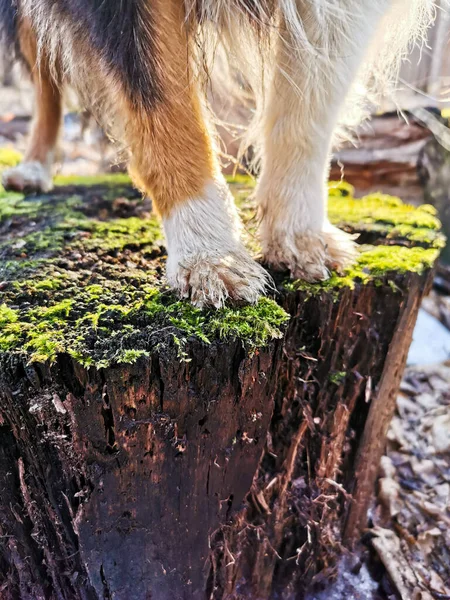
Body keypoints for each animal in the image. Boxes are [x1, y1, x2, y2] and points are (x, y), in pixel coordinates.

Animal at [0, 0, 436, 308]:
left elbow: (311, 105)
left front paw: (300, 235)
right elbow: (162, 101)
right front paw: (210, 256)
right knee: (44, 70)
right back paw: (33, 168)